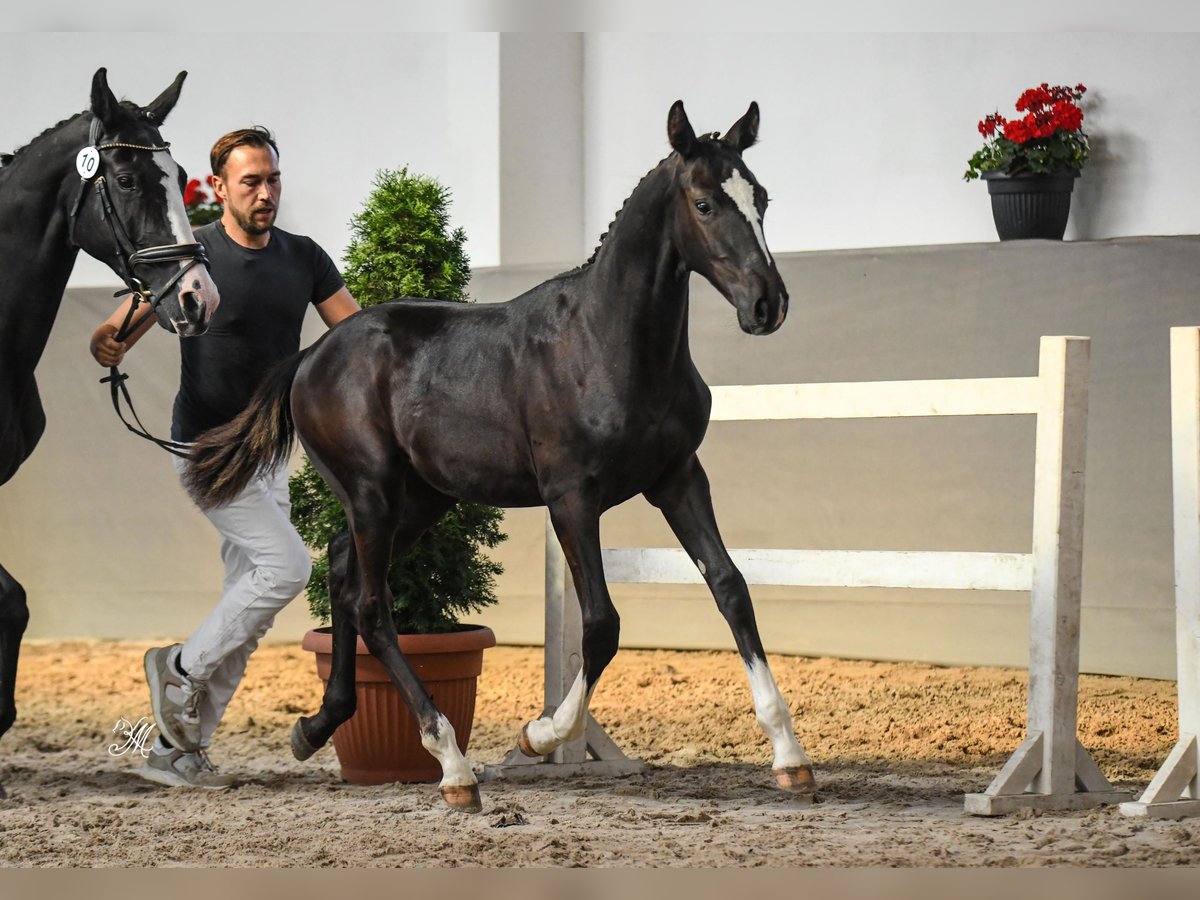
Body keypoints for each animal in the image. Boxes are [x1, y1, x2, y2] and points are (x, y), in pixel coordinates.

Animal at [187, 102, 811, 816]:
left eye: (761, 197)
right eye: (705, 203)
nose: (768, 304)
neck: (606, 345)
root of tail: (310, 357)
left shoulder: (678, 478)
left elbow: (731, 589)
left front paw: (790, 758)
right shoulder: (572, 498)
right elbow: (601, 624)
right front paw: (539, 736)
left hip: (421, 500)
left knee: (343, 576)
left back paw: (317, 727)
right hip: (373, 492)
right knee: (372, 606)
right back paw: (452, 766)